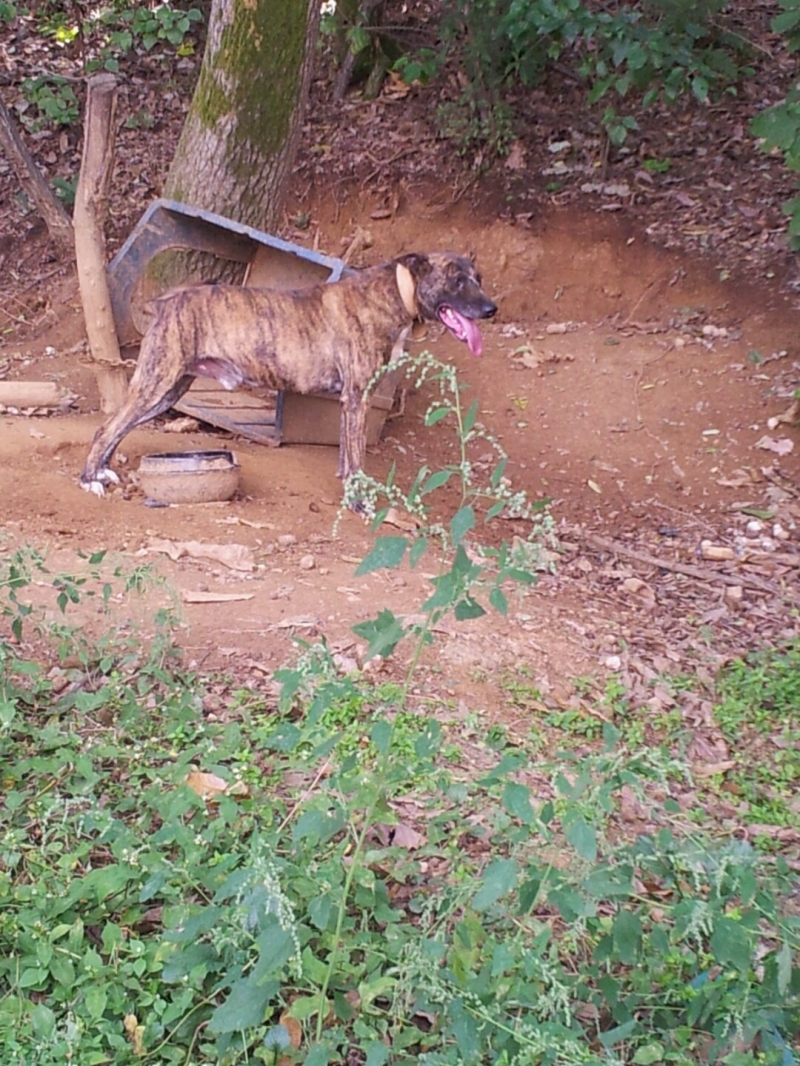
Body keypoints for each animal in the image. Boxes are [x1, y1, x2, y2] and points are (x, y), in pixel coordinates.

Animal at [80, 251, 498, 506]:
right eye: (457, 280)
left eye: (477, 277)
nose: (491, 309)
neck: (394, 293)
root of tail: (167, 301)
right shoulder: (357, 398)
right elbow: (357, 460)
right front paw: (359, 504)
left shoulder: (351, 402)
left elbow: (347, 458)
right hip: (157, 383)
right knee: (105, 428)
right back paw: (89, 479)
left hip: (168, 390)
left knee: (117, 427)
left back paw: (101, 470)